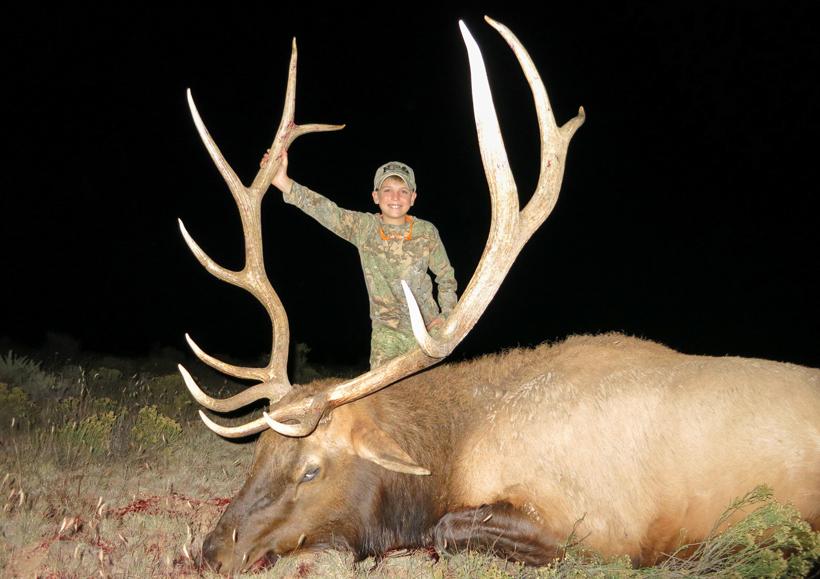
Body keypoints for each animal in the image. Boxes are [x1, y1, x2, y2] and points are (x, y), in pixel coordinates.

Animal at [177, 16, 820, 574]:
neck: (454, 455)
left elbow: (448, 529)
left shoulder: (600, 527)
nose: (212, 550)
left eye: (311, 471)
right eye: (258, 452)